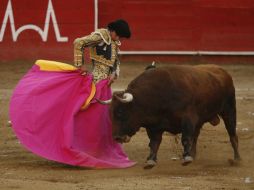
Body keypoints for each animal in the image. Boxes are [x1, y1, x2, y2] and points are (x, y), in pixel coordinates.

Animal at [97, 64, 240, 168]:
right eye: (110, 115)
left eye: (121, 113)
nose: (117, 138)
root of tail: (222, 71)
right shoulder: (154, 126)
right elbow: (154, 143)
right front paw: (151, 160)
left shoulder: (188, 119)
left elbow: (186, 138)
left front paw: (186, 158)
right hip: (201, 119)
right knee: (196, 135)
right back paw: (193, 155)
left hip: (229, 109)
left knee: (232, 134)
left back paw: (237, 159)